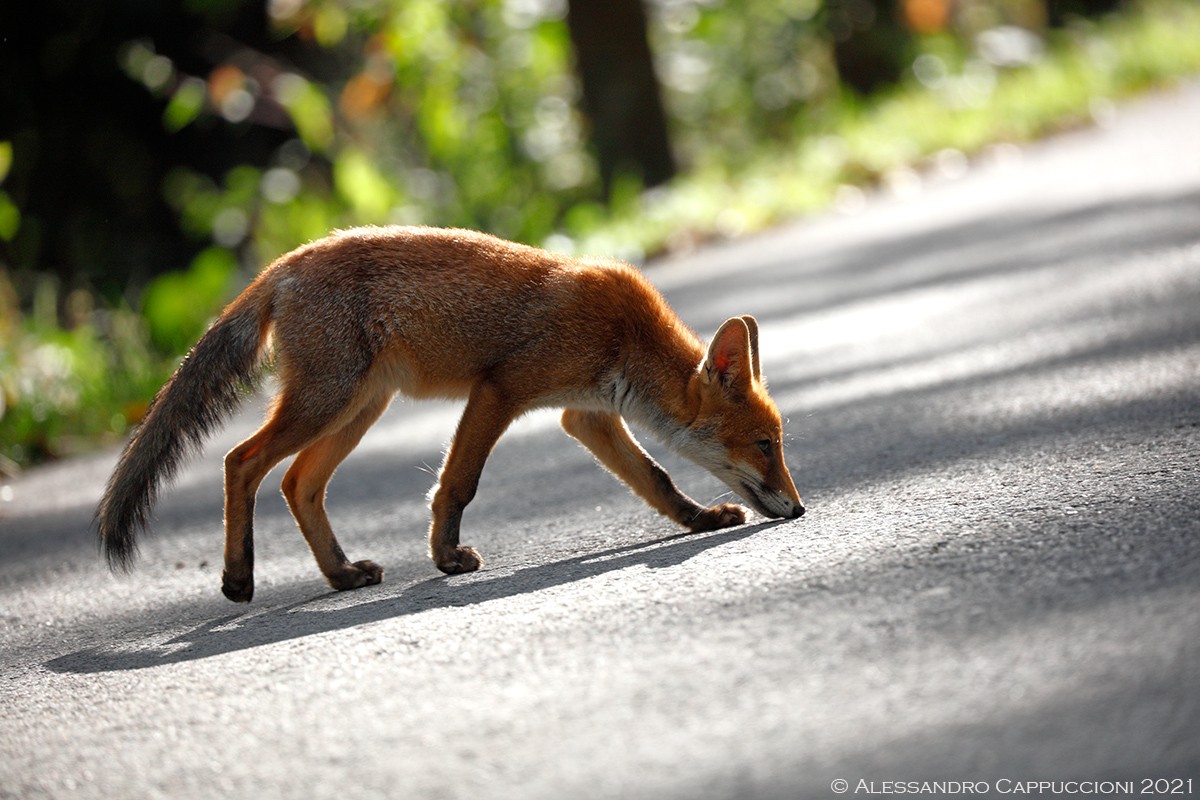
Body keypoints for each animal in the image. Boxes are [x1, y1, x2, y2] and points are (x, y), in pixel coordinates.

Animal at [97, 226, 804, 602]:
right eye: (765, 445)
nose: (799, 509)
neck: (625, 339)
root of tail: (286, 262)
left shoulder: (587, 416)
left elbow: (656, 479)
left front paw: (700, 519)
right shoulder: (500, 391)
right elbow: (458, 484)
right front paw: (444, 557)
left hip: (360, 408)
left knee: (298, 483)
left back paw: (341, 574)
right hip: (327, 402)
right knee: (240, 461)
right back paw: (239, 578)